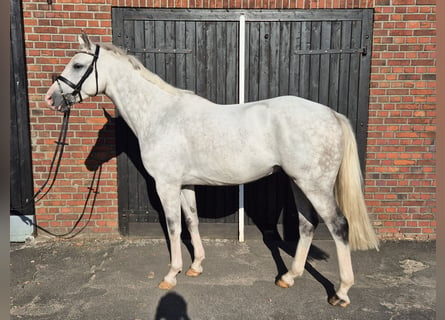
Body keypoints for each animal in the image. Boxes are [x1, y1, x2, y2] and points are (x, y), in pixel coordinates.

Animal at [46, 33, 378, 308]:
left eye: (77, 64)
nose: (51, 97)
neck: (160, 115)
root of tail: (331, 114)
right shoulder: (185, 185)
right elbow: (192, 221)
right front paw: (196, 266)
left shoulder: (166, 185)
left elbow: (173, 226)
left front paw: (171, 274)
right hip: (299, 183)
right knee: (308, 224)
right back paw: (289, 277)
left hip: (315, 186)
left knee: (339, 226)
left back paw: (341, 292)